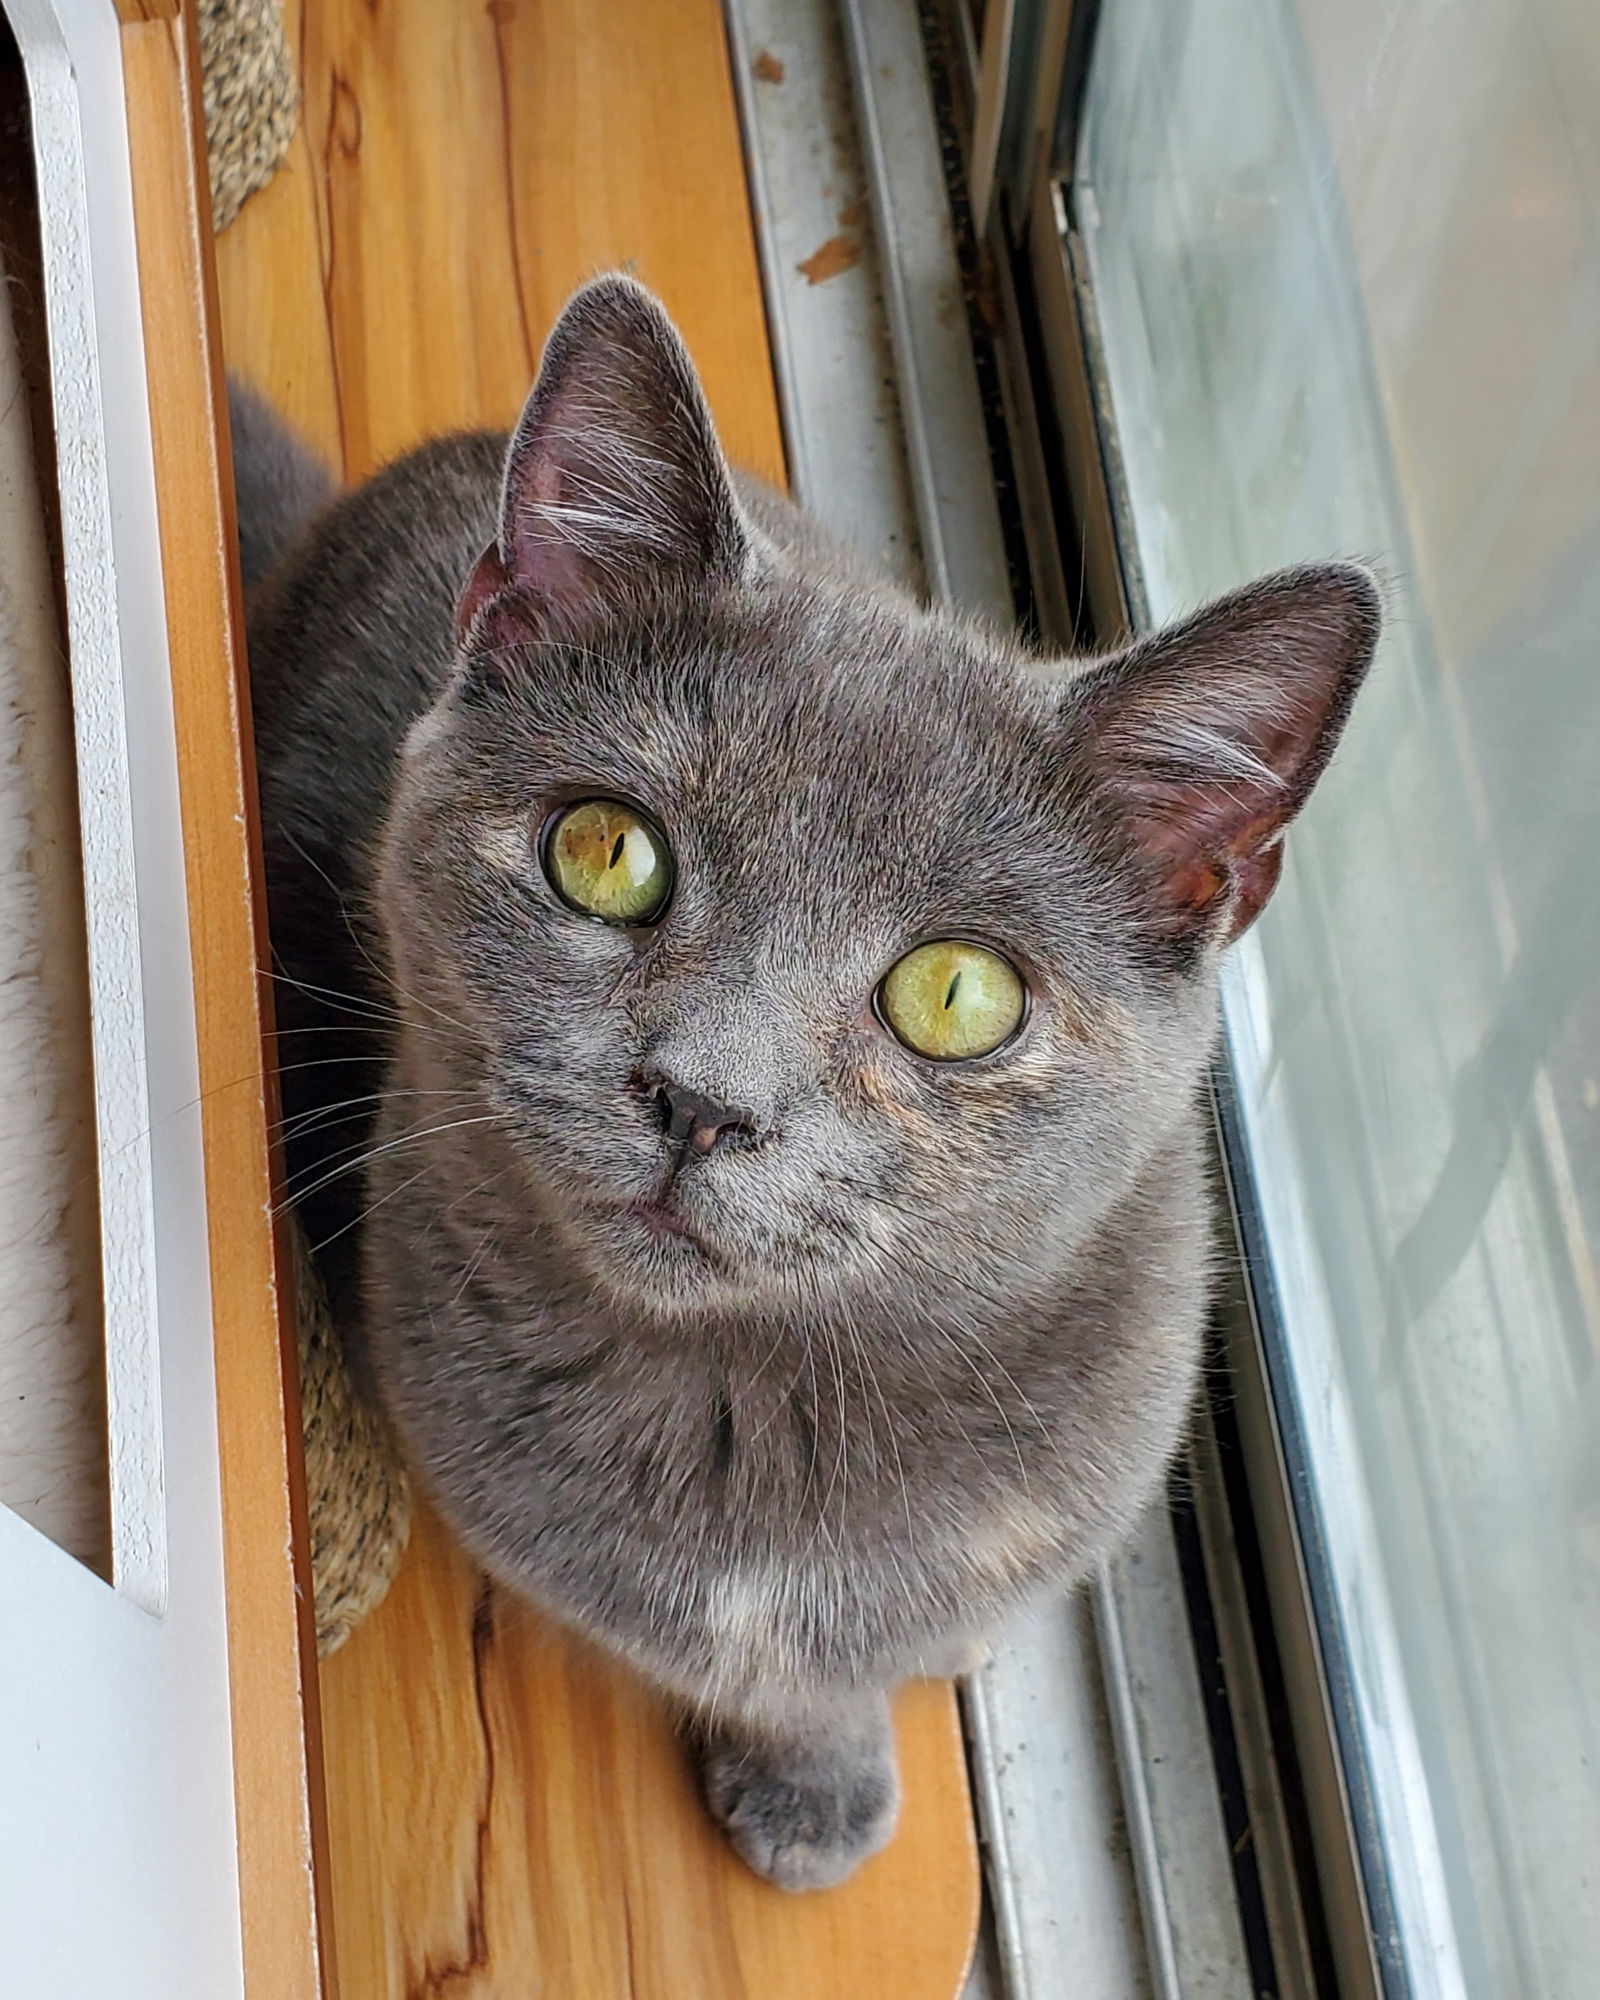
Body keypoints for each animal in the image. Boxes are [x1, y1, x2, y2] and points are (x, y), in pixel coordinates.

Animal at [234, 274, 1376, 1880]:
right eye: (605, 851)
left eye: (957, 995)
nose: (704, 1101)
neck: (754, 1404)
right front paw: (811, 1774)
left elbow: (865, 1655)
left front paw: (826, 1775)